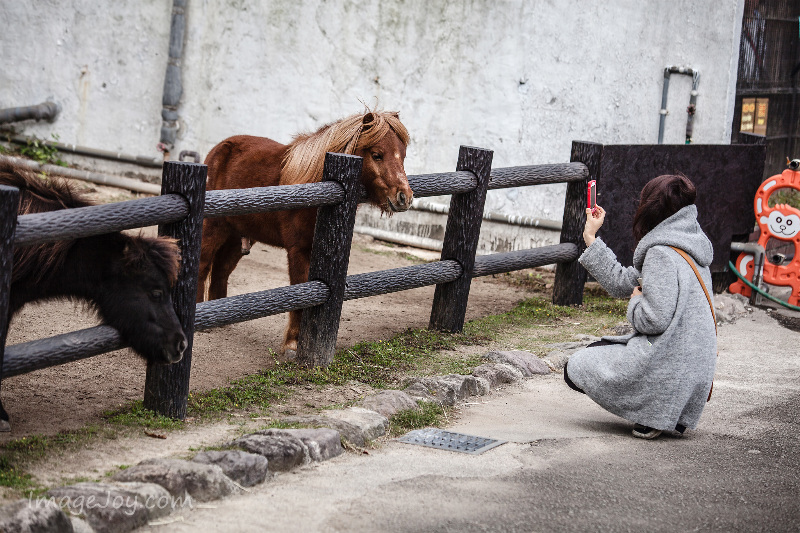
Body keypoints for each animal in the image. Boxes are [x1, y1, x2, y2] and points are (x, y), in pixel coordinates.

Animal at [197, 110, 412, 356]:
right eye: (377, 155)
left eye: (403, 156)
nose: (404, 197)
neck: (321, 189)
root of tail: (218, 149)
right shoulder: (298, 251)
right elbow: (301, 293)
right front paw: (292, 343)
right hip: (213, 229)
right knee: (203, 266)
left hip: (235, 236)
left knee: (221, 271)